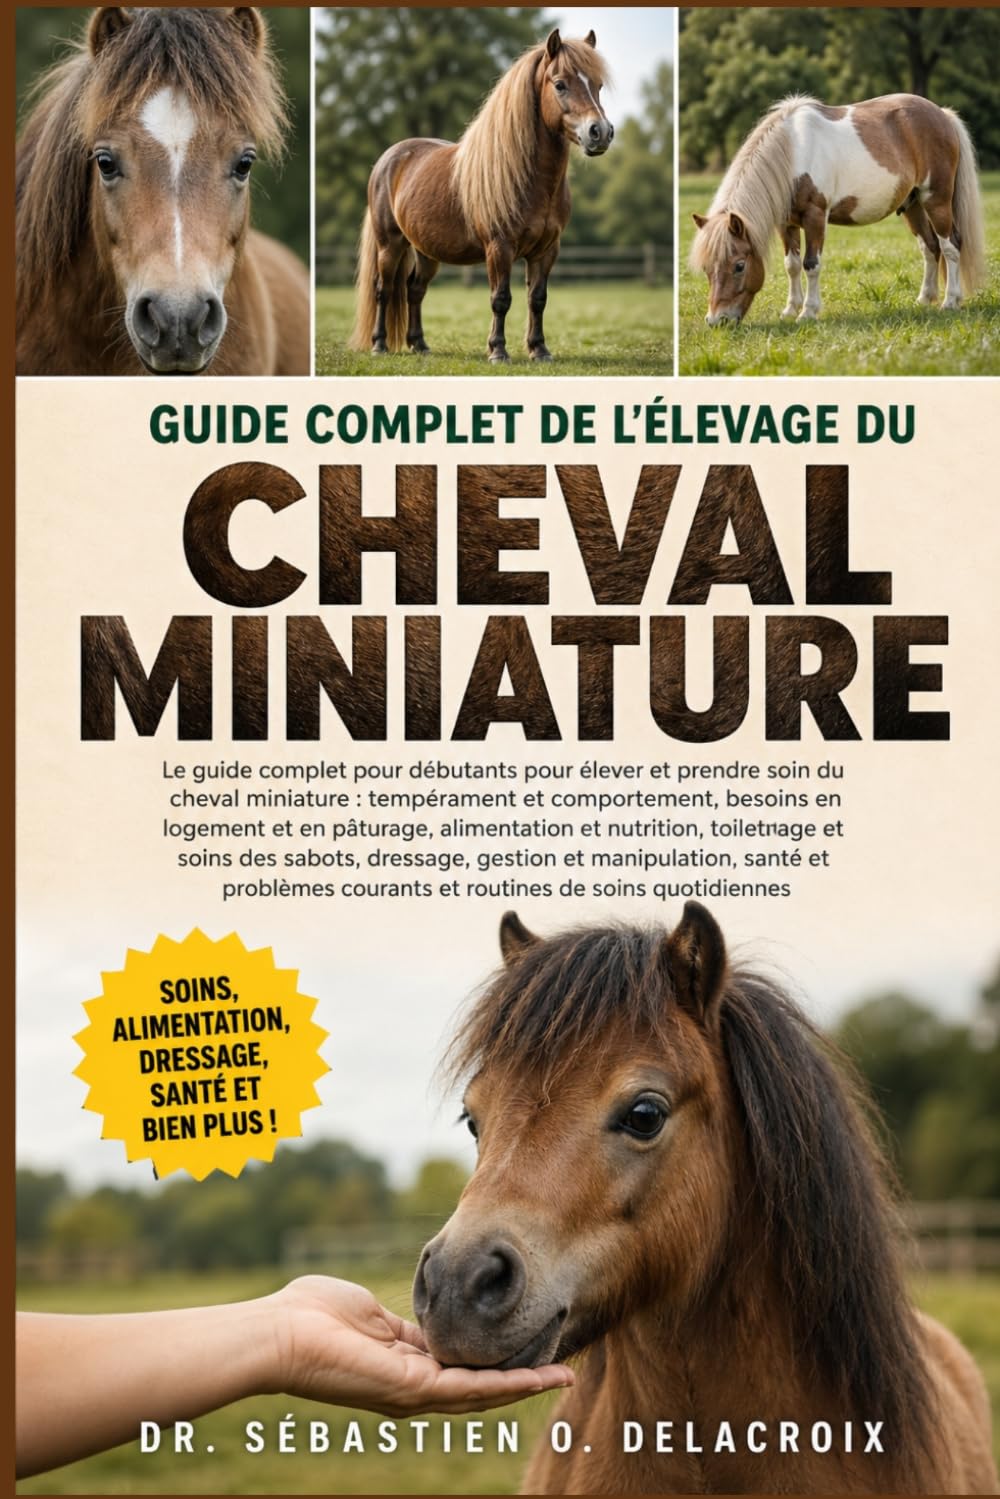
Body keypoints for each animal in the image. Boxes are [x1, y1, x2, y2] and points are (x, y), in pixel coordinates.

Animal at [349, 30, 613, 364]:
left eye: (598, 85)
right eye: (560, 84)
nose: (600, 132)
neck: (530, 179)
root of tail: (389, 158)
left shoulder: (547, 250)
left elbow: (537, 299)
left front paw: (539, 349)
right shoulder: (499, 248)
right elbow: (501, 299)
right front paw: (498, 351)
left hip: (426, 251)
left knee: (414, 290)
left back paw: (419, 345)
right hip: (390, 244)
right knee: (383, 289)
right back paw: (380, 345)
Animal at [690, 94, 986, 326]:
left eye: (739, 266)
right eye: (706, 268)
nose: (716, 321)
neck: (794, 152)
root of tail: (942, 114)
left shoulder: (815, 216)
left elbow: (811, 264)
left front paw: (808, 312)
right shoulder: (786, 223)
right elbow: (791, 265)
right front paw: (790, 310)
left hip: (936, 200)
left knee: (950, 246)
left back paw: (950, 301)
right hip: (912, 205)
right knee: (930, 247)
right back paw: (924, 299)